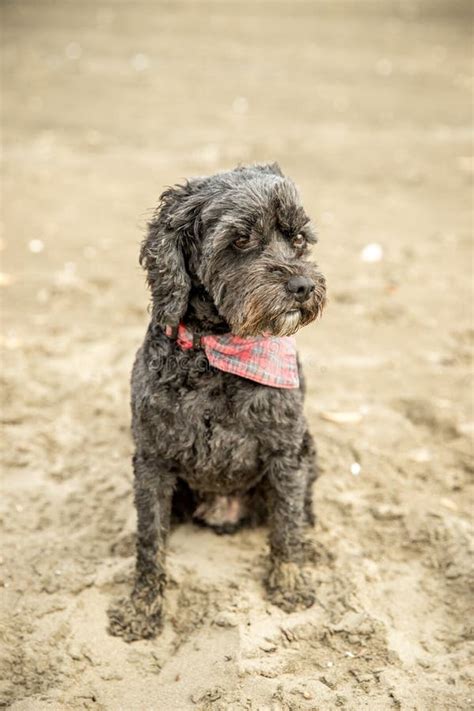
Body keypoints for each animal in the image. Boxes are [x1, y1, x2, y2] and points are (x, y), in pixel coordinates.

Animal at [108, 164, 326, 644]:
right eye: (241, 240)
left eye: (299, 239)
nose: (302, 285)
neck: (218, 355)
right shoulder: (152, 460)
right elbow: (150, 542)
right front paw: (142, 608)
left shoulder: (286, 451)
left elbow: (286, 526)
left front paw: (289, 581)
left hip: (309, 448)